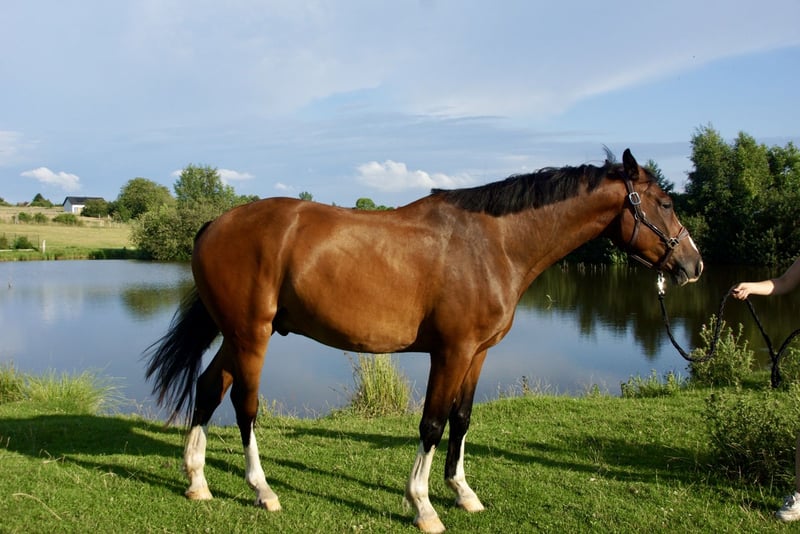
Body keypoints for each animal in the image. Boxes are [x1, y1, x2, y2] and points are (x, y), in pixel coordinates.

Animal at [145, 148, 703, 533]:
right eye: (666, 202)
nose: (693, 265)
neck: (494, 244)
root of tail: (214, 224)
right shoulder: (450, 352)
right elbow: (432, 424)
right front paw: (423, 506)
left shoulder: (476, 354)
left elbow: (461, 419)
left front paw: (463, 493)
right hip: (252, 334)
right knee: (245, 404)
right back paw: (262, 490)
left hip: (235, 334)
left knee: (208, 388)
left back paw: (197, 481)